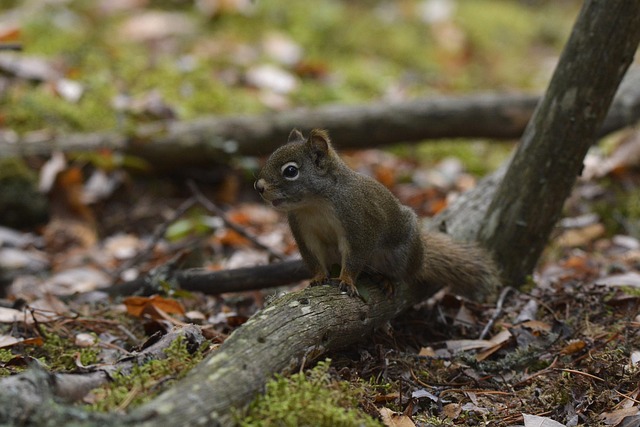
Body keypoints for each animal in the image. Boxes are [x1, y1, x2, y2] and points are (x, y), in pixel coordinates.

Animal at [254, 128, 499, 300]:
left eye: (291, 171)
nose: (259, 187)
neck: (314, 204)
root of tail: (420, 260)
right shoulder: (303, 230)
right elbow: (313, 257)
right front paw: (318, 277)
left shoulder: (359, 225)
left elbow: (355, 256)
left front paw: (347, 280)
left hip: (401, 253)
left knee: (401, 275)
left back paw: (386, 279)